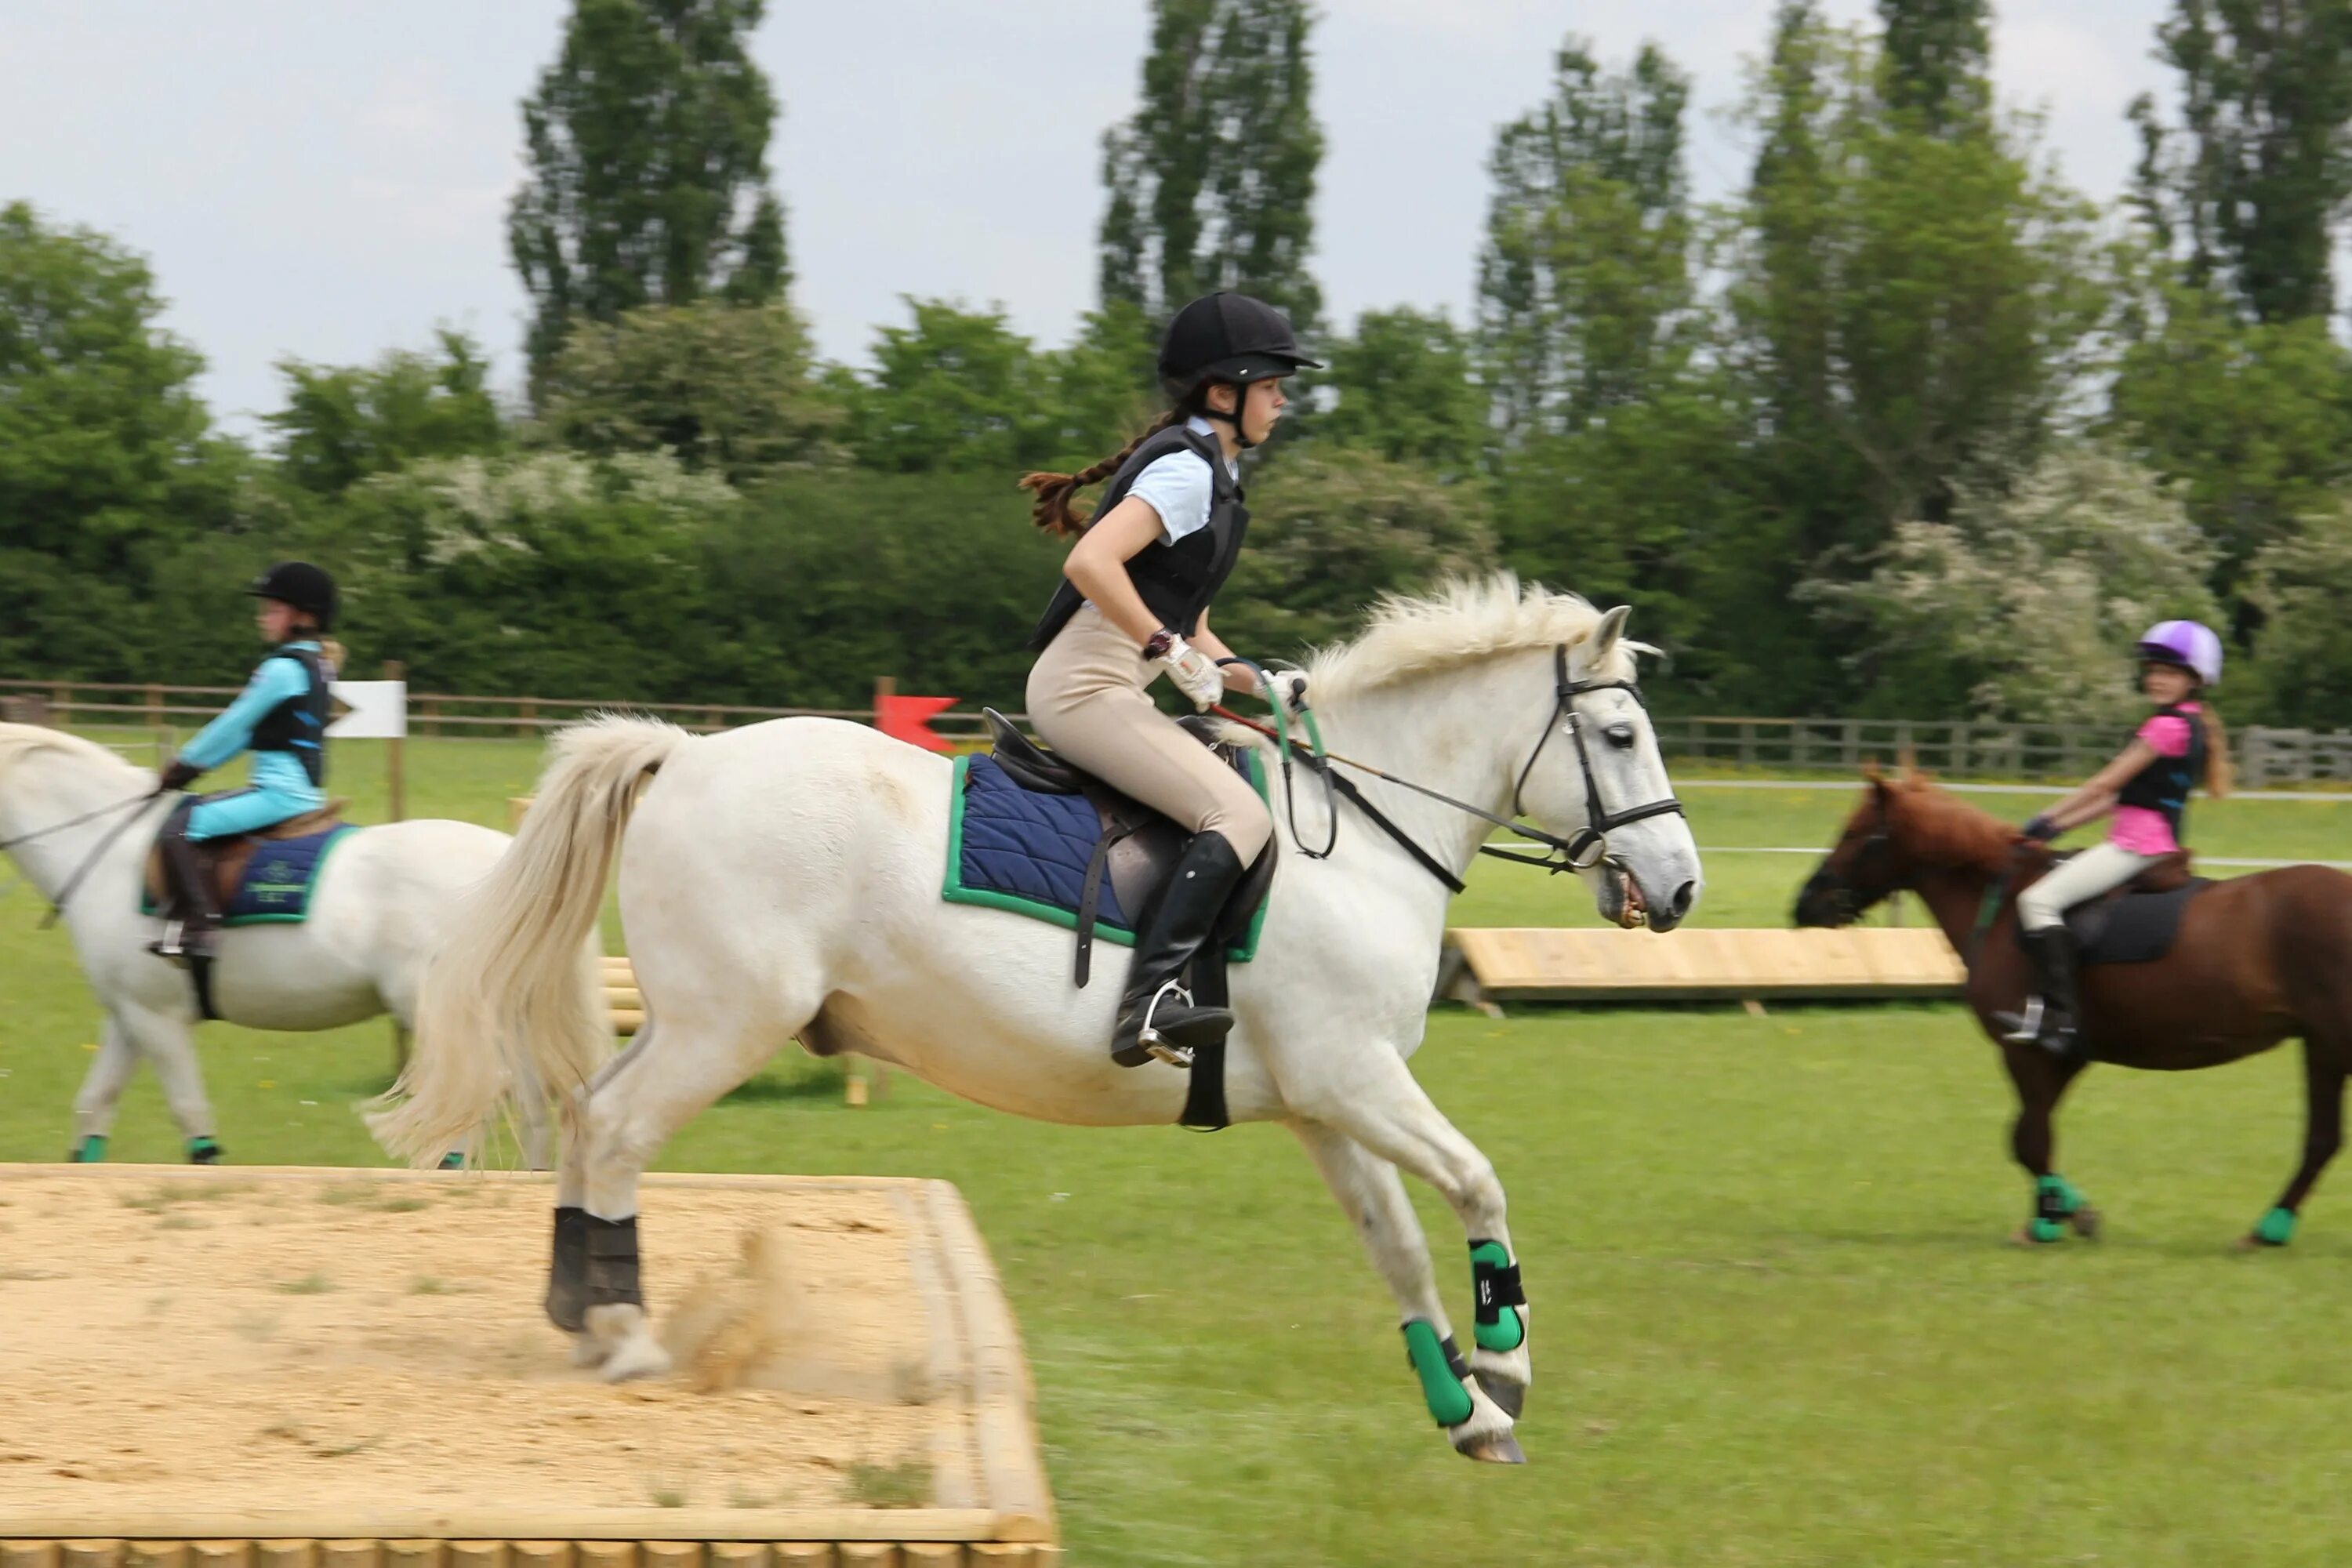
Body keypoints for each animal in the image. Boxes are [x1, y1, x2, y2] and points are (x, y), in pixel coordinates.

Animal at [0, 728, 564, 1166]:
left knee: (482, 1094)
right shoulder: (128, 1016)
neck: (117, 853)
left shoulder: (157, 1018)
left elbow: (192, 1119)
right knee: (531, 1100)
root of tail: (508, 859)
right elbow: (93, 1108)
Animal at [376, 580, 1703, 1476]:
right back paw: (626, 1336)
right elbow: (1478, 1185)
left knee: (588, 1118)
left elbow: (1401, 1251)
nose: (1682, 889)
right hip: (724, 1027)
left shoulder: (1326, 1104)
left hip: (697, 1019)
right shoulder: (1358, 1079)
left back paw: (578, 1316)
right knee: (615, 1136)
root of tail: (684, 754)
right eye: (1622, 737)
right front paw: (1508, 1363)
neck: (1363, 837)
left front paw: (1466, 1411)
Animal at [1797, 771, 2352, 1250]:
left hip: (2328, 1043)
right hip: (2322, 1044)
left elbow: (2027, 1139)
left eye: (1855, 833)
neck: (2001, 906)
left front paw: (2062, 1217)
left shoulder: (2025, 1050)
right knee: (2323, 1140)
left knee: (2321, 1140)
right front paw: (2055, 1213)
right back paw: (2270, 1228)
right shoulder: (2065, 1054)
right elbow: (2032, 1132)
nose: (1804, 906)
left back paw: (2268, 1229)